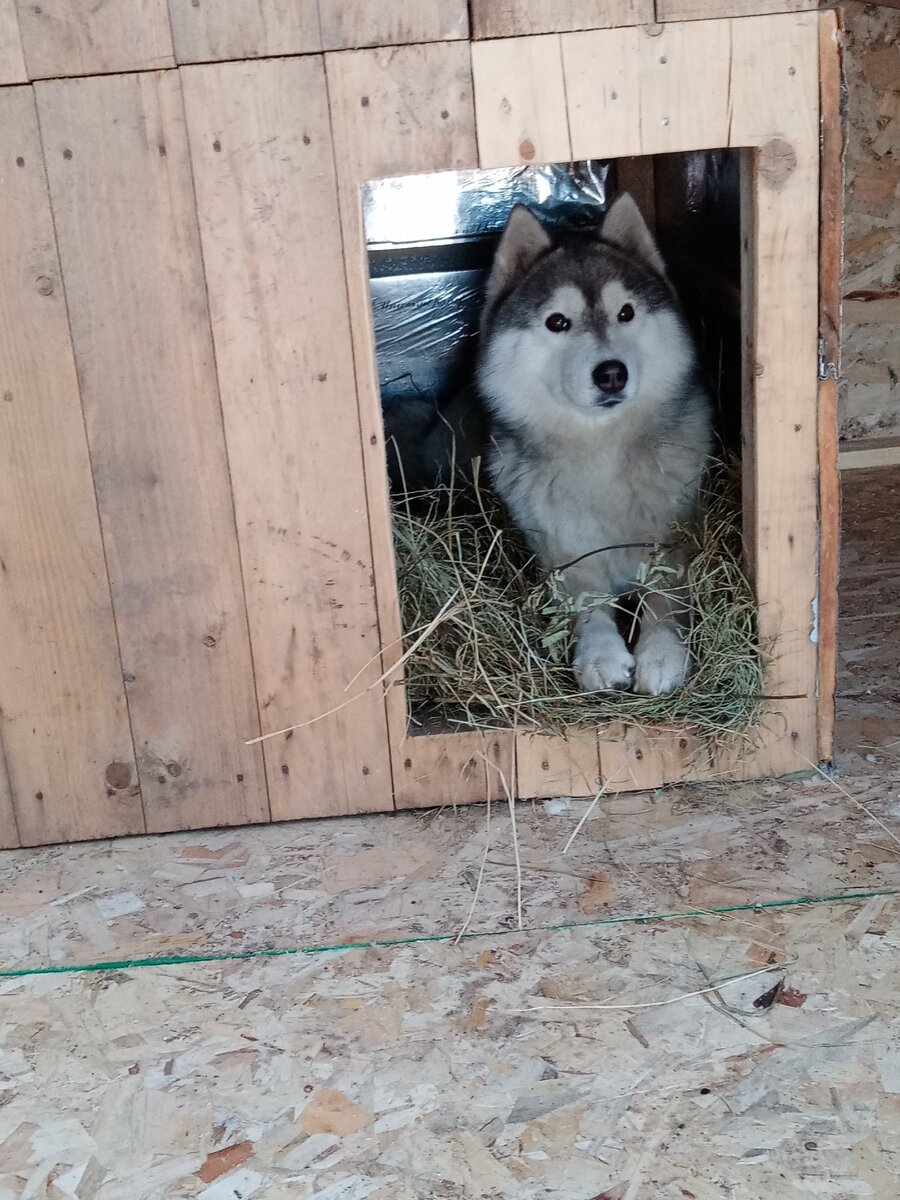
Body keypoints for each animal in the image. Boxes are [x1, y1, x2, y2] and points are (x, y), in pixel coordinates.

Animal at [480, 193, 710, 700]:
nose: (611, 373)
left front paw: (660, 653)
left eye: (625, 313)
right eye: (557, 322)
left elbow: (664, 601)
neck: (600, 452)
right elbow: (588, 604)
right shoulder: (564, 554)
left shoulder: (673, 541)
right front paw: (602, 654)